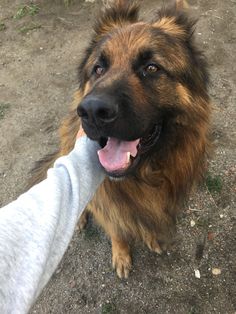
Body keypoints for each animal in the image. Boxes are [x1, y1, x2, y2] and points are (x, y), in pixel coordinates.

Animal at [30, 0, 210, 280]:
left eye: (151, 68)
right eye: (99, 68)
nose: (92, 111)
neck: (143, 176)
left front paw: (150, 236)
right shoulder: (109, 205)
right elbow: (116, 228)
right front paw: (122, 254)